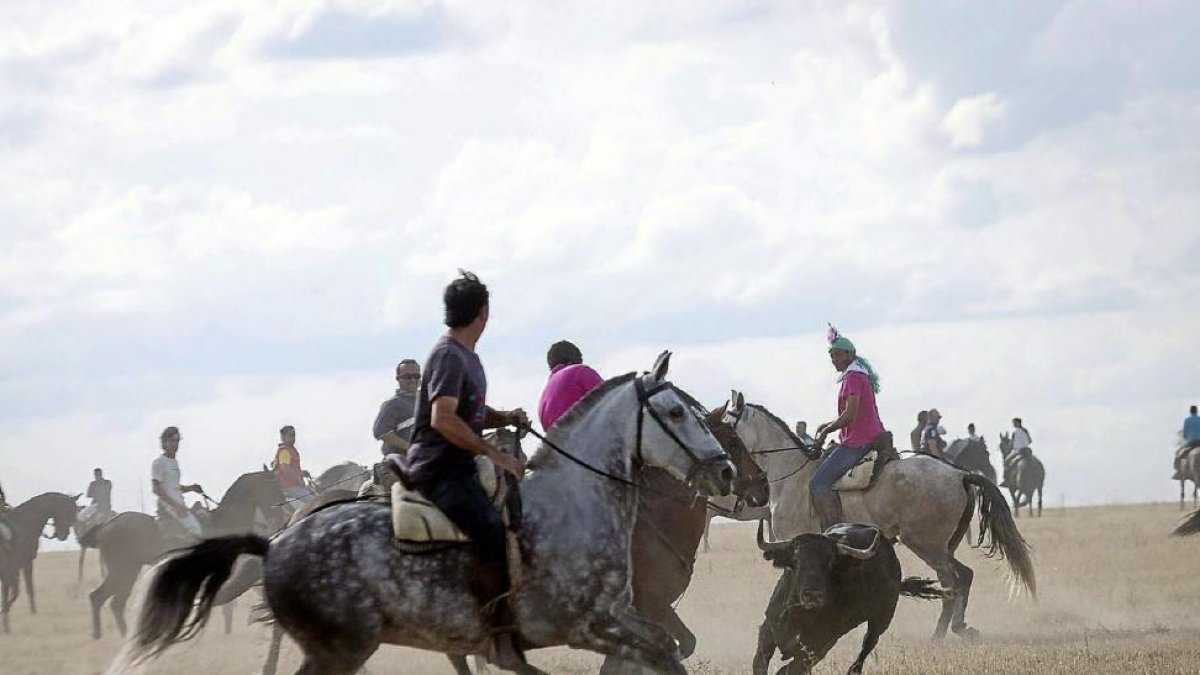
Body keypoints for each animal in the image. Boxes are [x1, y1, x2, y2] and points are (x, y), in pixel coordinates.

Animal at [0, 487, 79, 629]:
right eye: (65, 510)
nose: (63, 535)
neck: (24, 524)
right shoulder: (22, 564)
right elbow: (18, 592)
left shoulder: (17, 567)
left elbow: (26, 590)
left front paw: (32, 614)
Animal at [85, 468, 288, 634]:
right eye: (273, 487)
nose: (281, 516)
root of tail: (106, 526)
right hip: (122, 571)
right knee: (105, 599)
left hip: (128, 571)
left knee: (109, 601)